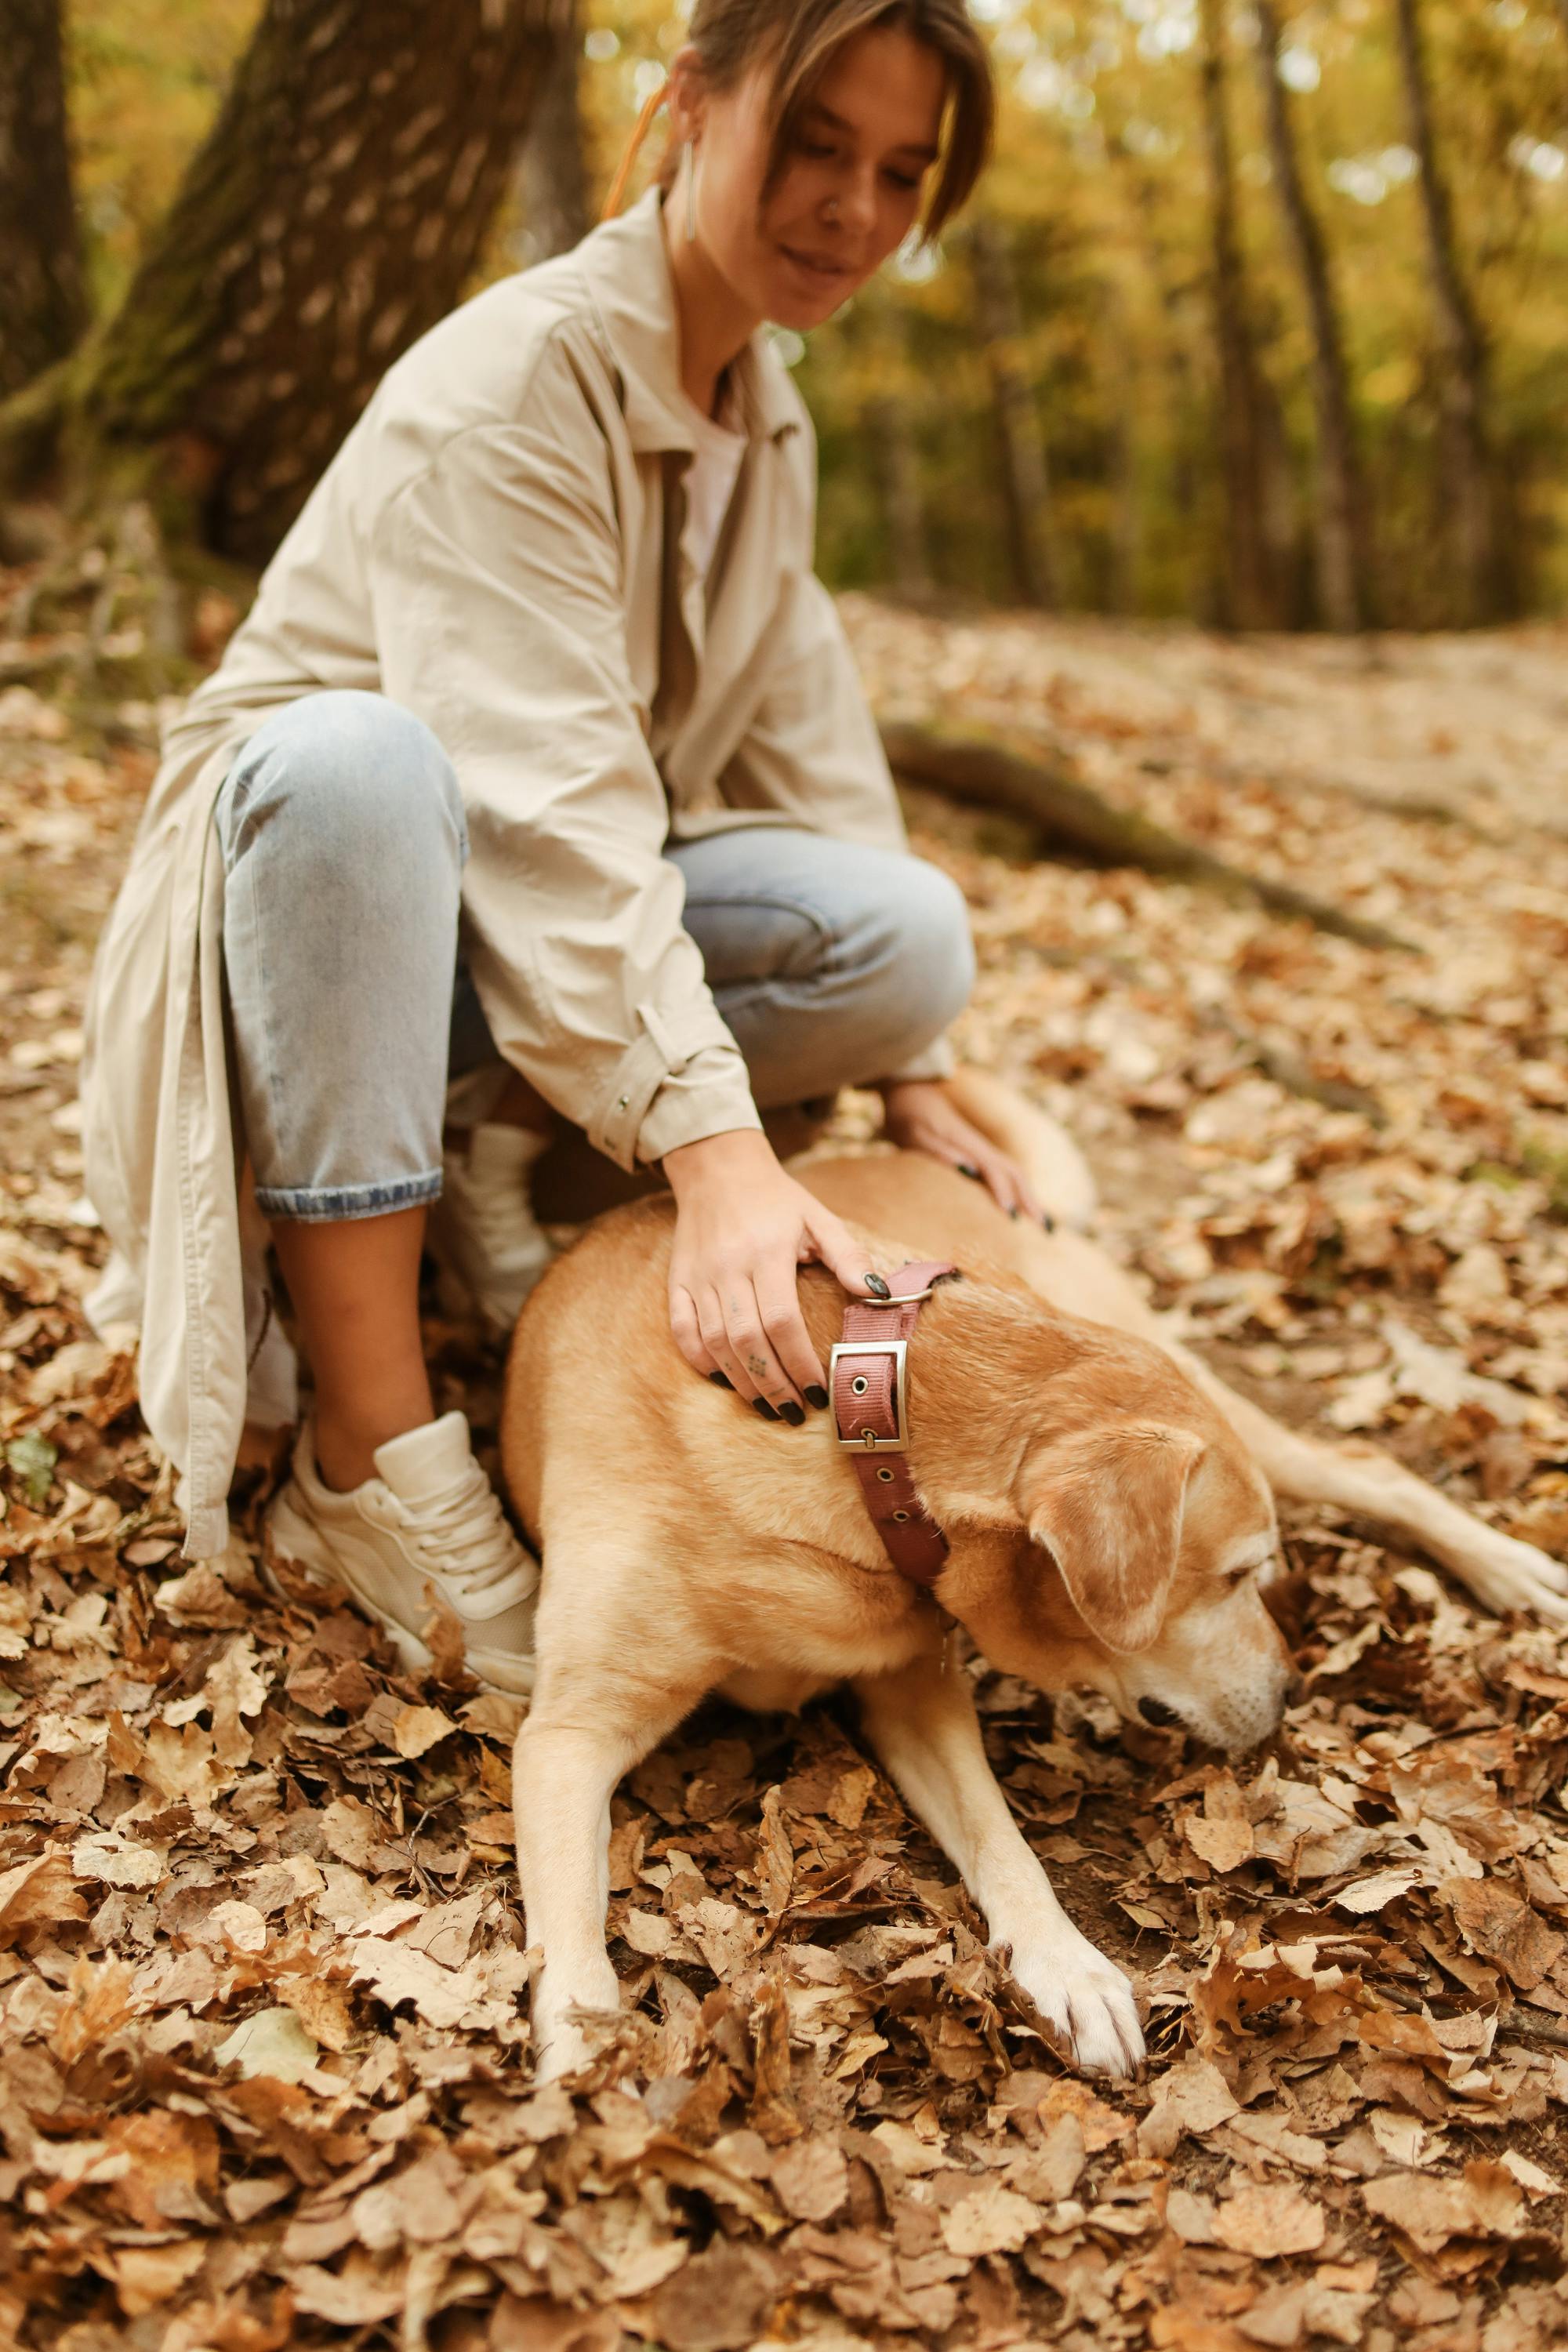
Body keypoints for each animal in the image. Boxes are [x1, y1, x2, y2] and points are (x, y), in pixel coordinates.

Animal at [503, 1077, 1568, 2089]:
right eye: (1235, 1575)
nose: (1290, 1689)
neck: (861, 1423)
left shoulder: (916, 1688)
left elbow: (1001, 1840)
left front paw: (1066, 1967)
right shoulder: (569, 1732)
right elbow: (573, 1926)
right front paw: (587, 2055)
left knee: (1369, 1468)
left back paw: (1512, 1568)